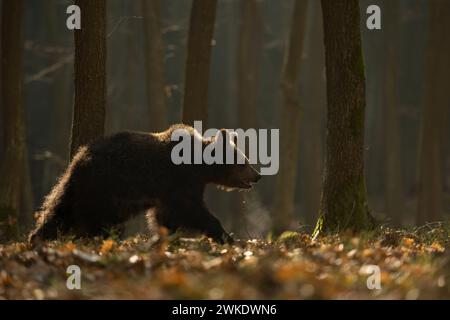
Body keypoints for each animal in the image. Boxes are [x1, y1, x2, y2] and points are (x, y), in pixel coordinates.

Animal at [29, 124, 260, 244]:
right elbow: (192, 210)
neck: (199, 167)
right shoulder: (179, 180)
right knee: (91, 217)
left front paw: (167, 235)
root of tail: (80, 157)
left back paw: (38, 237)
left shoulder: (169, 191)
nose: (257, 175)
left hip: (83, 187)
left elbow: (165, 215)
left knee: (59, 209)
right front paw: (227, 236)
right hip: (105, 187)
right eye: (243, 162)